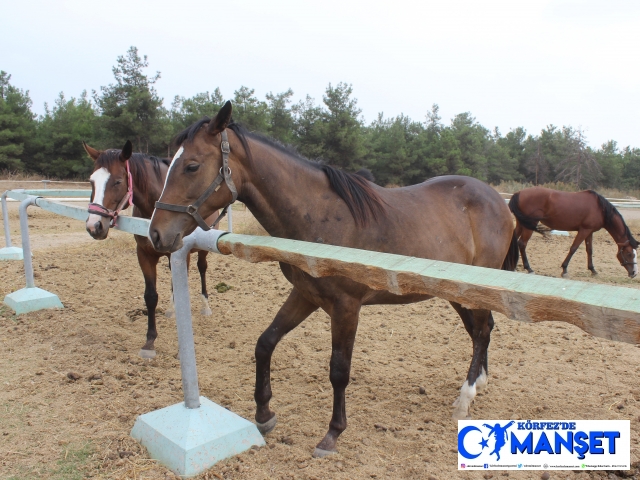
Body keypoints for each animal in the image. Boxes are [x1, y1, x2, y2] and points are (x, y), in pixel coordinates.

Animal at [84, 141, 219, 358]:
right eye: (91, 181)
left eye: (118, 182)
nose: (94, 226)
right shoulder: (144, 255)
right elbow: (150, 296)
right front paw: (149, 342)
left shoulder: (182, 254)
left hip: (202, 250)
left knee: (202, 268)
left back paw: (205, 306)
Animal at [508, 188, 636, 278]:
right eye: (629, 254)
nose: (634, 273)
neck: (600, 209)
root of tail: (518, 193)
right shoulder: (584, 230)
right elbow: (574, 248)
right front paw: (564, 270)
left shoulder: (589, 232)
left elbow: (589, 250)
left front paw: (593, 270)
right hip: (529, 225)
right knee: (522, 244)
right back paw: (529, 268)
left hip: (521, 224)